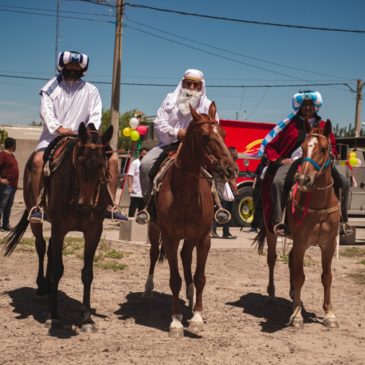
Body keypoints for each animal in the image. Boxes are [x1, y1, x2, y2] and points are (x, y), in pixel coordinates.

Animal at [2, 123, 112, 332]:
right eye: (78, 162)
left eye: (102, 163)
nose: (85, 206)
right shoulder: (60, 228)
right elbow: (58, 269)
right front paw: (53, 315)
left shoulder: (93, 232)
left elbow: (87, 273)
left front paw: (87, 318)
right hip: (36, 218)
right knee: (41, 246)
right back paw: (42, 286)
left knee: (50, 249)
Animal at [141, 101, 237, 336]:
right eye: (204, 136)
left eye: (222, 133)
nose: (230, 168)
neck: (184, 191)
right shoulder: (170, 238)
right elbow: (174, 279)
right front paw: (176, 321)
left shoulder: (204, 238)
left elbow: (200, 277)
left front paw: (197, 316)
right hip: (154, 231)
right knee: (154, 254)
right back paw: (148, 290)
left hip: (191, 237)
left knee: (186, 257)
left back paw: (191, 296)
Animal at [255, 121, 340, 328]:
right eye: (302, 147)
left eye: (323, 148)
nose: (303, 179)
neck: (320, 205)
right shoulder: (302, 241)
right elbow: (300, 276)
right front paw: (296, 316)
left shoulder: (329, 244)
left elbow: (327, 277)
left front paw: (329, 314)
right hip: (271, 231)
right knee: (272, 259)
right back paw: (272, 295)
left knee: (292, 259)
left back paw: (294, 296)